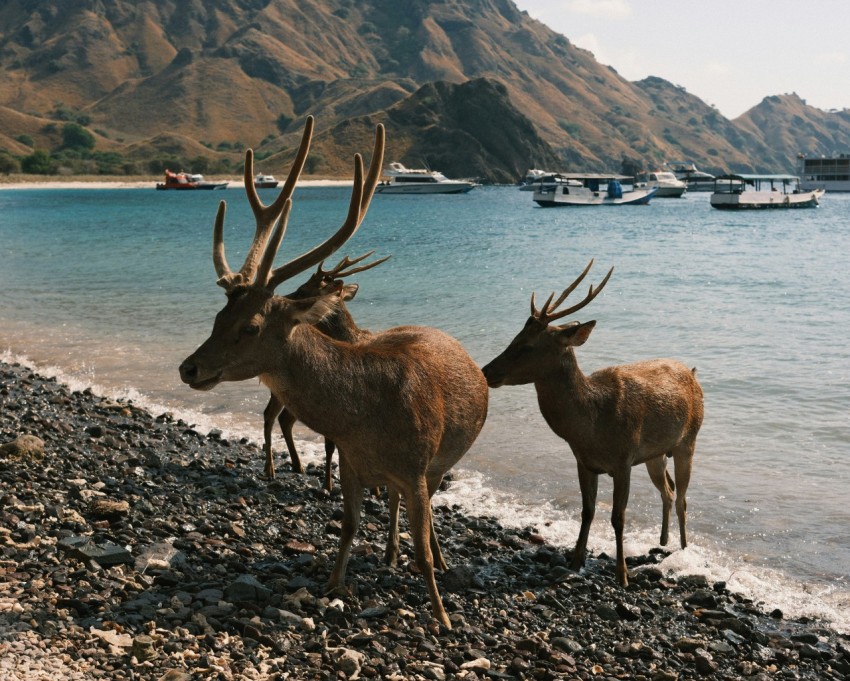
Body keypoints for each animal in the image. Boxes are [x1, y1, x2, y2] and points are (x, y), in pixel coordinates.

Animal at [263, 250, 390, 490]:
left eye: (303, 290)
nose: (280, 299)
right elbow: (331, 446)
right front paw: (329, 485)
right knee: (271, 415)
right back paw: (272, 469)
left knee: (282, 418)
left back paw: (296, 465)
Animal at [481, 260, 703, 587]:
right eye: (514, 337)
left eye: (527, 345)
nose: (486, 370)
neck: (591, 426)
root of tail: (693, 373)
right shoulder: (584, 461)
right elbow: (587, 511)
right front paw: (575, 561)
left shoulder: (623, 460)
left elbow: (618, 517)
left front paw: (622, 574)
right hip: (655, 454)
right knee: (668, 491)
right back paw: (662, 541)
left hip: (689, 440)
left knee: (683, 499)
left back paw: (684, 551)